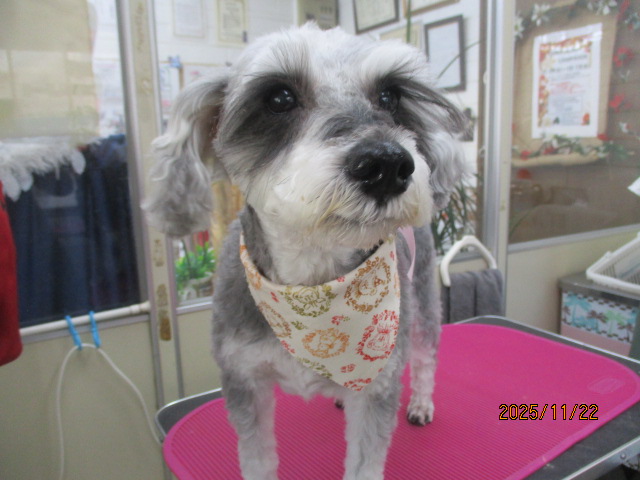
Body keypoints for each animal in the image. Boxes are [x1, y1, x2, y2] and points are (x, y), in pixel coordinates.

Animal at [145, 23, 467, 480]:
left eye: (390, 96)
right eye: (278, 98)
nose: (387, 164)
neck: (311, 282)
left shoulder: (378, 384)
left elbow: (365, 461)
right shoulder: (244, 381)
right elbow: (258, 460)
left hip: (422, 298)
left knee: (425, 357)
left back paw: (422, 402)